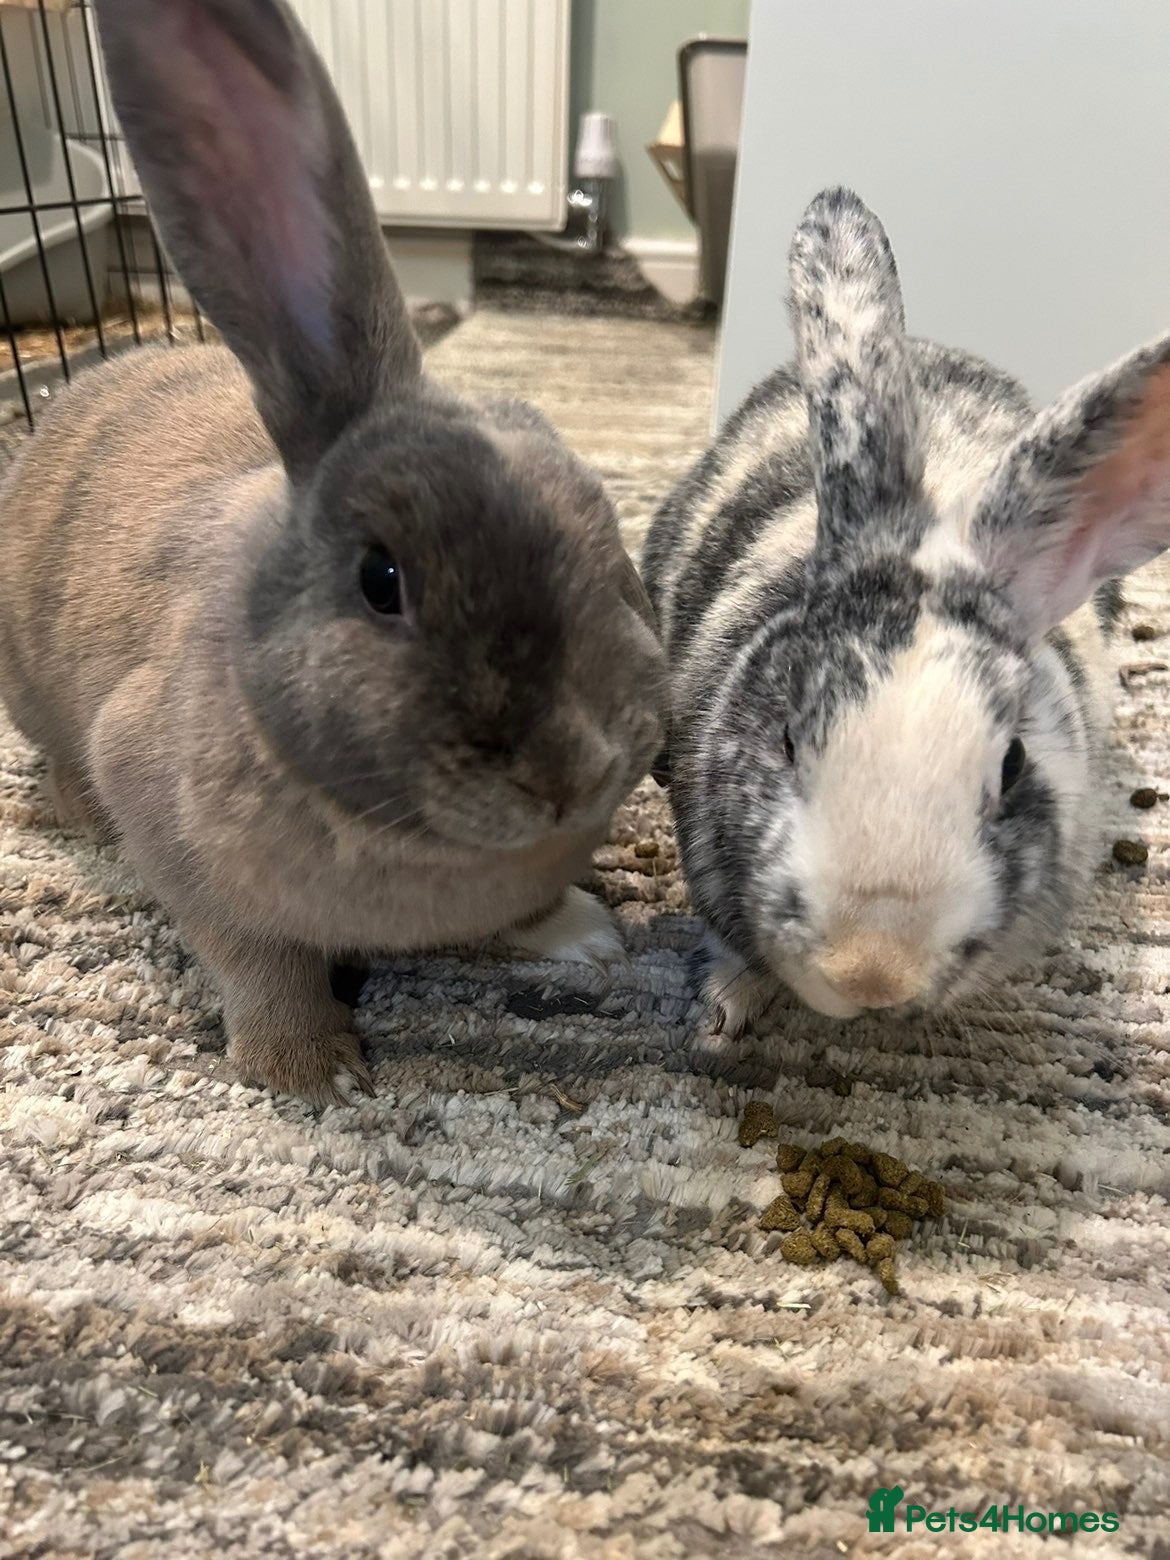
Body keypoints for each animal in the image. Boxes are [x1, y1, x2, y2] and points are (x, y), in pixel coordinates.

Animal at [0, 0, 666, 1105]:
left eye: (608, 545)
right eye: (380, 579)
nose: (566, 776)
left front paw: (588, 936)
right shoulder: (178, 831)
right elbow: (255, 958)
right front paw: (308, 1068)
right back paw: (79, 819)